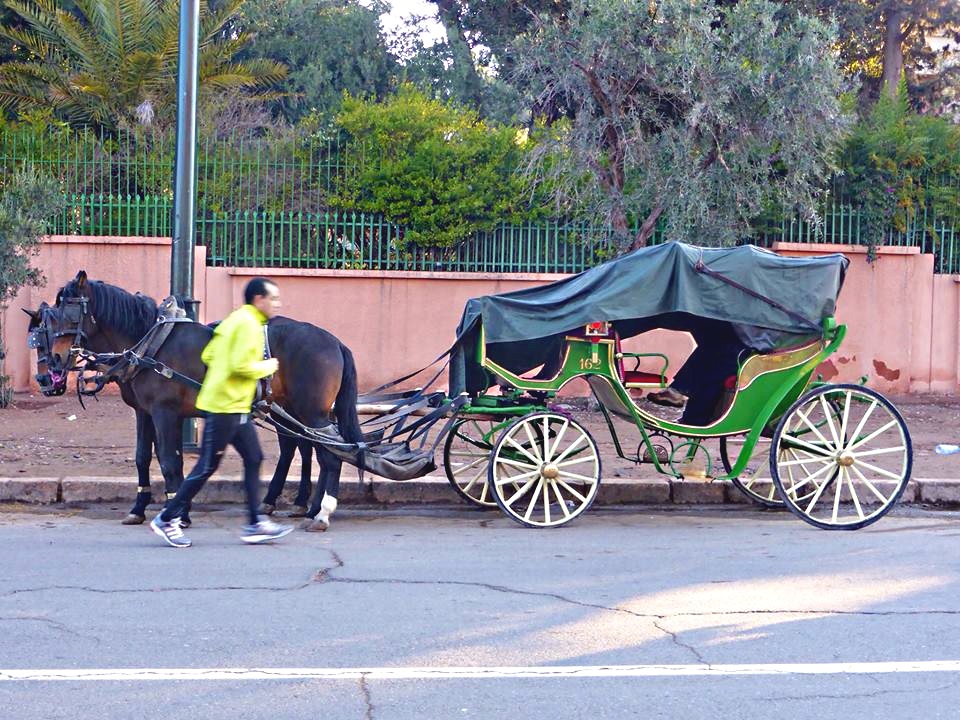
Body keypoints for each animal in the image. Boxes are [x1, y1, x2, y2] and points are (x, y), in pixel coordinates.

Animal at [28, 270, 364, 528]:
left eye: (68, 312)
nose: (52, 366)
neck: (149, 343)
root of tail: (335, 342)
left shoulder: (165, 411)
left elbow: (169, 460)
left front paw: (178, 513)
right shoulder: (146, 412)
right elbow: (144, 456)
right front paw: (141, 508)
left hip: (312, 412)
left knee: (330, 456)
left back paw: (321, 512)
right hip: (295, 411)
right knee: (310, 450)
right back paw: (305, 506)